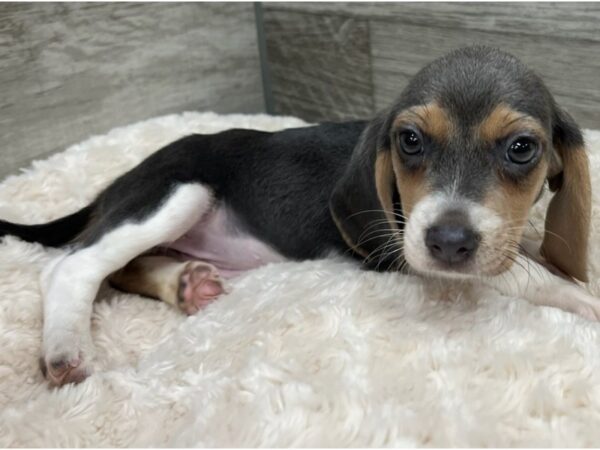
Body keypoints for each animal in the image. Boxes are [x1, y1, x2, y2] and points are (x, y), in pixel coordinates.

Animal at [0, 46, 596, 386]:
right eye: (409, 140)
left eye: (522, 148)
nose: (448, 242)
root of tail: (117, 183)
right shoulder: (402, 252)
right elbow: (530, 276)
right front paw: (585, 299)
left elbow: (525, 256)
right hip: (178, 191)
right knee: (72, 266)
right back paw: (66, 346)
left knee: (123, 268)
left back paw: (188, 283)